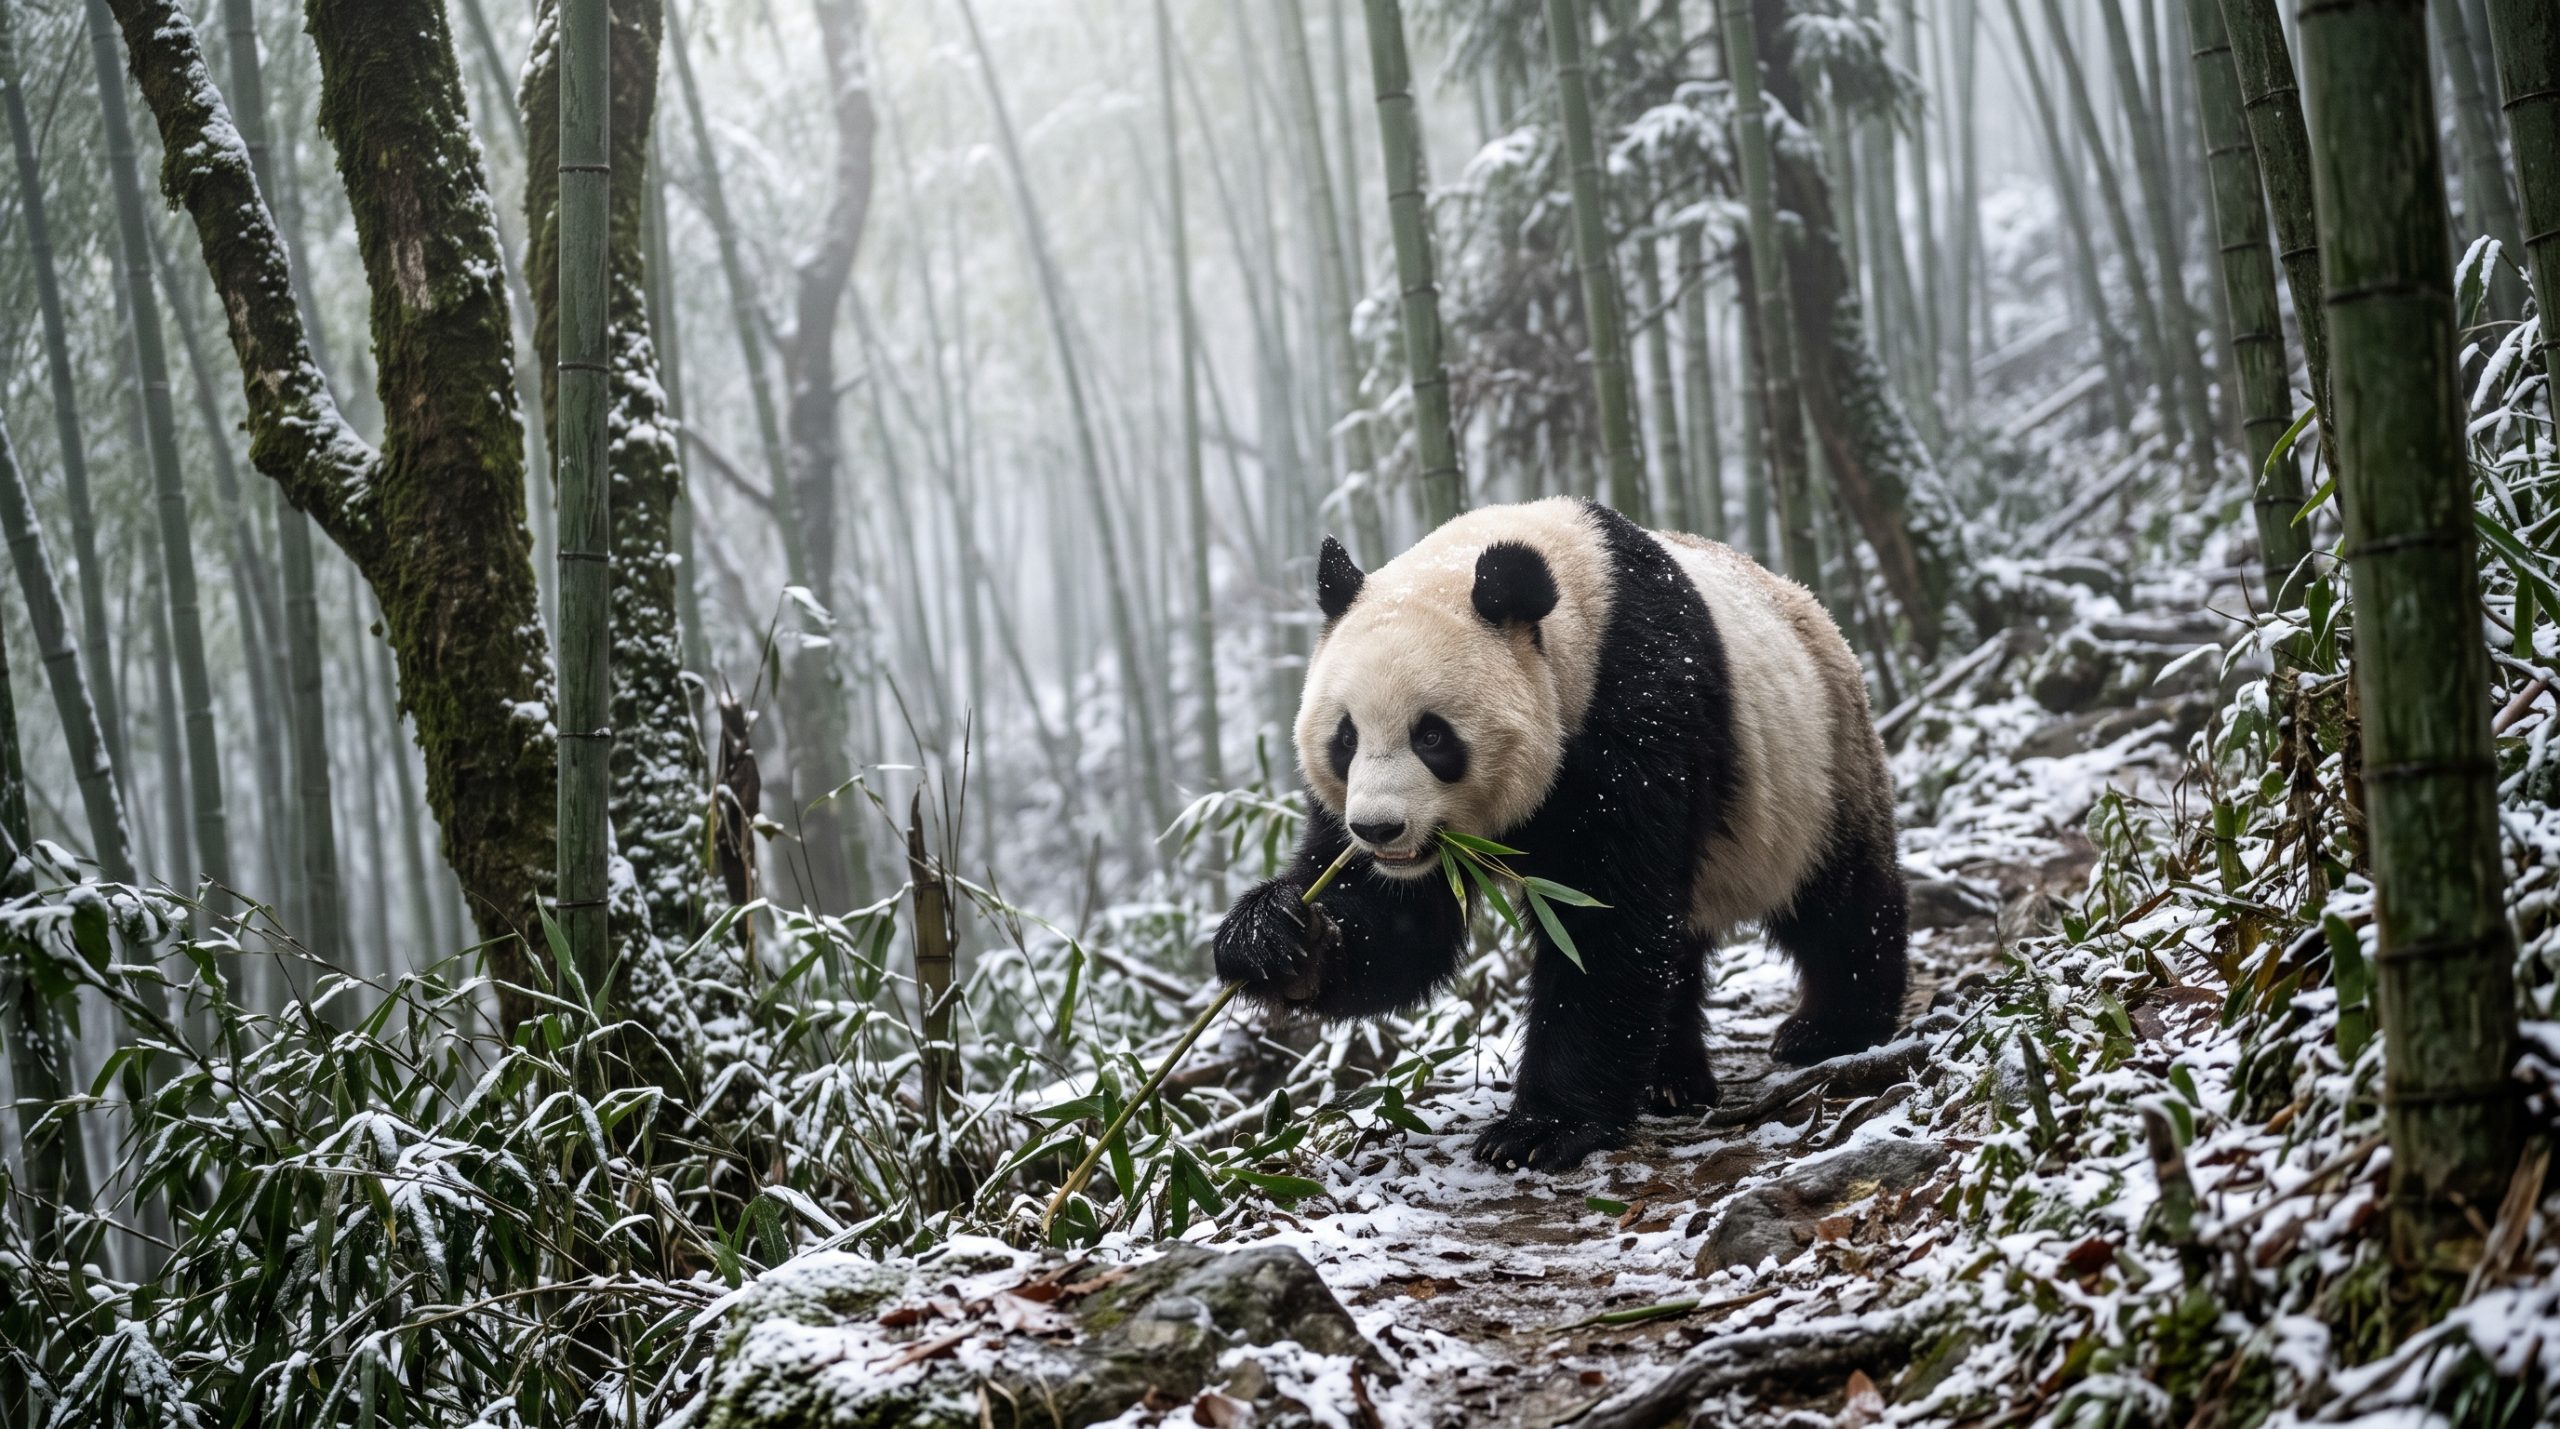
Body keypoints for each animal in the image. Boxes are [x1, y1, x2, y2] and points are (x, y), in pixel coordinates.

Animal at [1213, 496, 1908, 1172]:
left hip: (1817, 768)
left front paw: (1540, 1130)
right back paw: (1672, 1080)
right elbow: (1399, 925)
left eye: (1432, 736)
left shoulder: (1638, 712)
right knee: (1682, 937)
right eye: (1345, 738)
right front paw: (1279, 937)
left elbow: (1604, 924)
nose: (1379, 829)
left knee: (1838, 900)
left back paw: (1830, 1030)